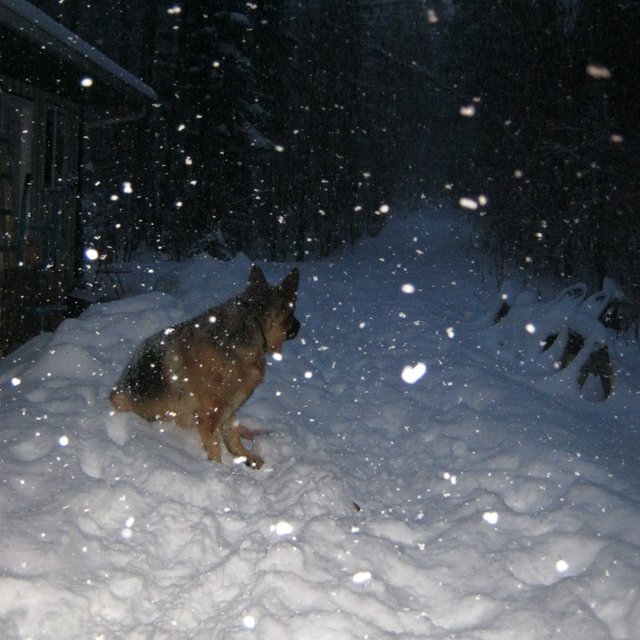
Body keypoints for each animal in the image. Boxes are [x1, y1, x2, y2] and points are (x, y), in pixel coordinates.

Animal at [110, 264, 300, 470]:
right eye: (292, 312)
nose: (299, 326)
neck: (251, 325)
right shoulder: (211, 415)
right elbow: (216, 446)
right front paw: (219, 471)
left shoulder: (230, 406)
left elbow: (232, 437)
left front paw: (244, 456)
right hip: (122, 401)